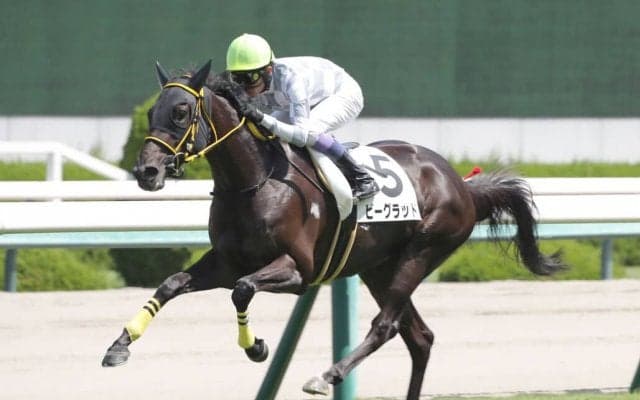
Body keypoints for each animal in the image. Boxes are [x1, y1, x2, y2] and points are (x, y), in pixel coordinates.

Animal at [101, 60, 564, 399]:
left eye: (181, 112)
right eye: (151, 111)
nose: (147, 172)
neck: (255, 182)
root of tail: (462, 185)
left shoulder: (298, 270)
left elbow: (244, 290)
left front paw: (256, 347)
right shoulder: (226, 262)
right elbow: (171, 283)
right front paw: (119, 345)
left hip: (422, 252)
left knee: (386, 325)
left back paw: (326, 376)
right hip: (379, 267)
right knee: (420, 337)